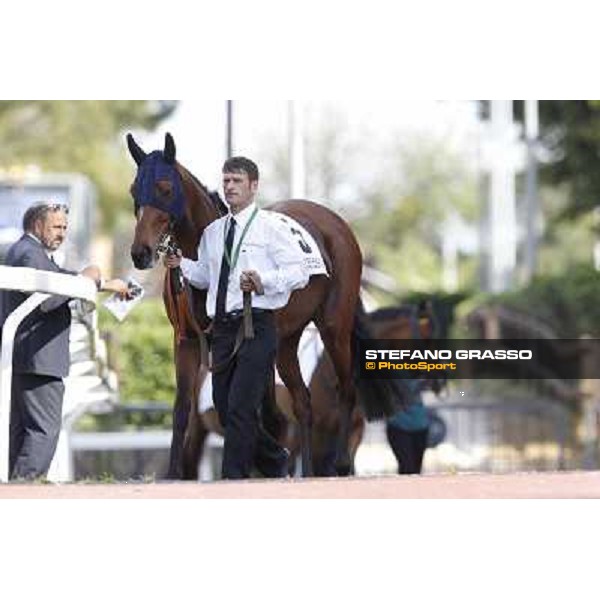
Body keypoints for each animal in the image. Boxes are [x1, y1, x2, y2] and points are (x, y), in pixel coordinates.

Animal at [125, 132, 398, 478]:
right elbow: (184, 408)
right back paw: (307, 470)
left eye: (165, 188)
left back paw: (339, 463)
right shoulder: (186, 339)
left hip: (333, 325)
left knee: (346, 387)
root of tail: (335, 223)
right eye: (134, 190)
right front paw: (174, 475)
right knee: (302, 402)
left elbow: (252, 408)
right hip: (286, 341)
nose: (141, 253)